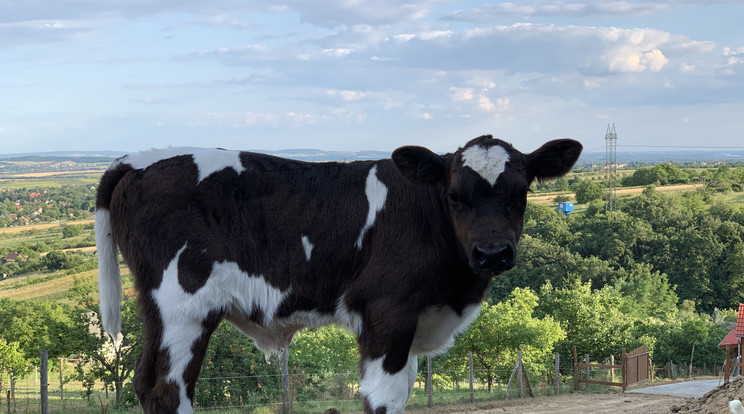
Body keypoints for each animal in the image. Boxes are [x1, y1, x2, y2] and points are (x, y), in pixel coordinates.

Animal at [94, 134, 580, 412]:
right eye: (455, 196)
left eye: (521, 193)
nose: (493, 253)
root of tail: (137, 159)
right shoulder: (387, 312)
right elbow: (383, 397)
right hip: (181, 306)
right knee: (165, 388)